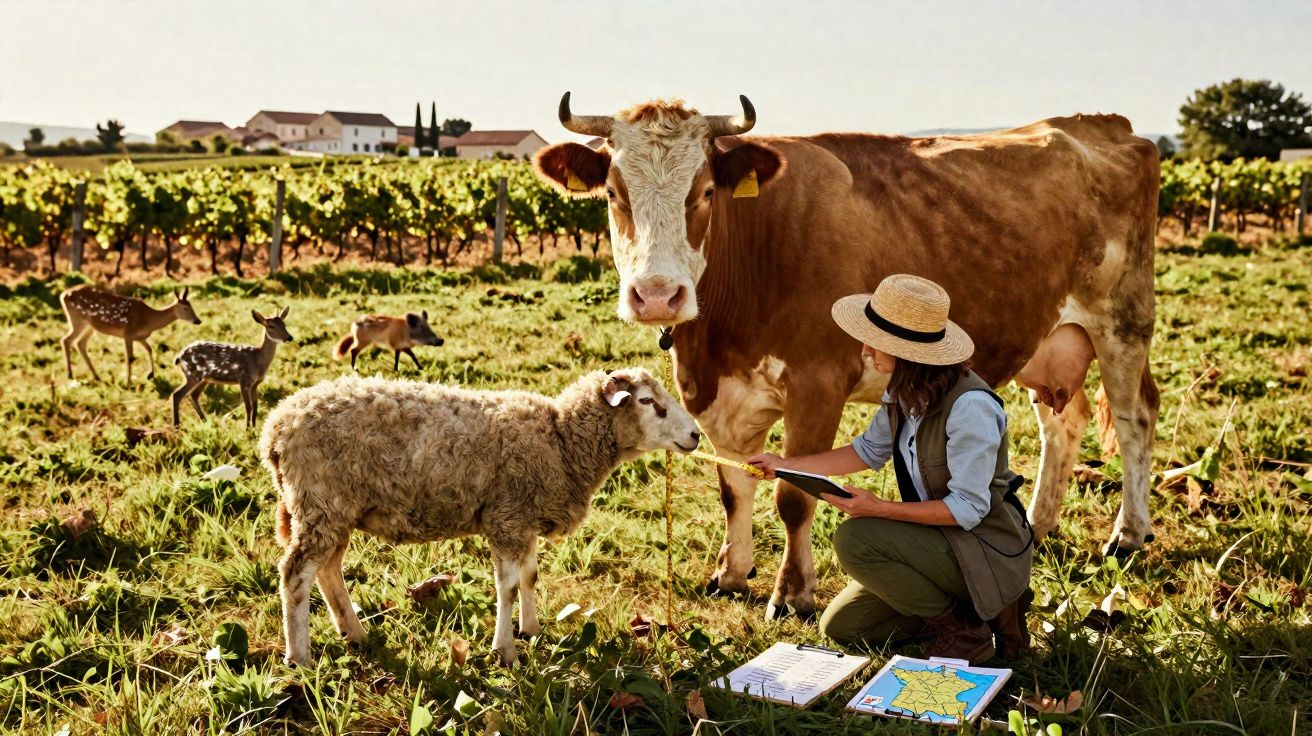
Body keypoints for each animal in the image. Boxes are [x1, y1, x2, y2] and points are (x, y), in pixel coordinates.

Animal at [533, 93, 1160, 620]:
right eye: (613, 194)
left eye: (706, 192)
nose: (659, 295)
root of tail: (1105, 124)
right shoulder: (718, 394)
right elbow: (734, 489)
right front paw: (731, 572)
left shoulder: (818, 385)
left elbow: (792, 496)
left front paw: (792, 593)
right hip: (1048, 337)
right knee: (1063, 422)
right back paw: (1039, 521)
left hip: (1123, 321)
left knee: (1135, 418)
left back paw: (1128, 535)